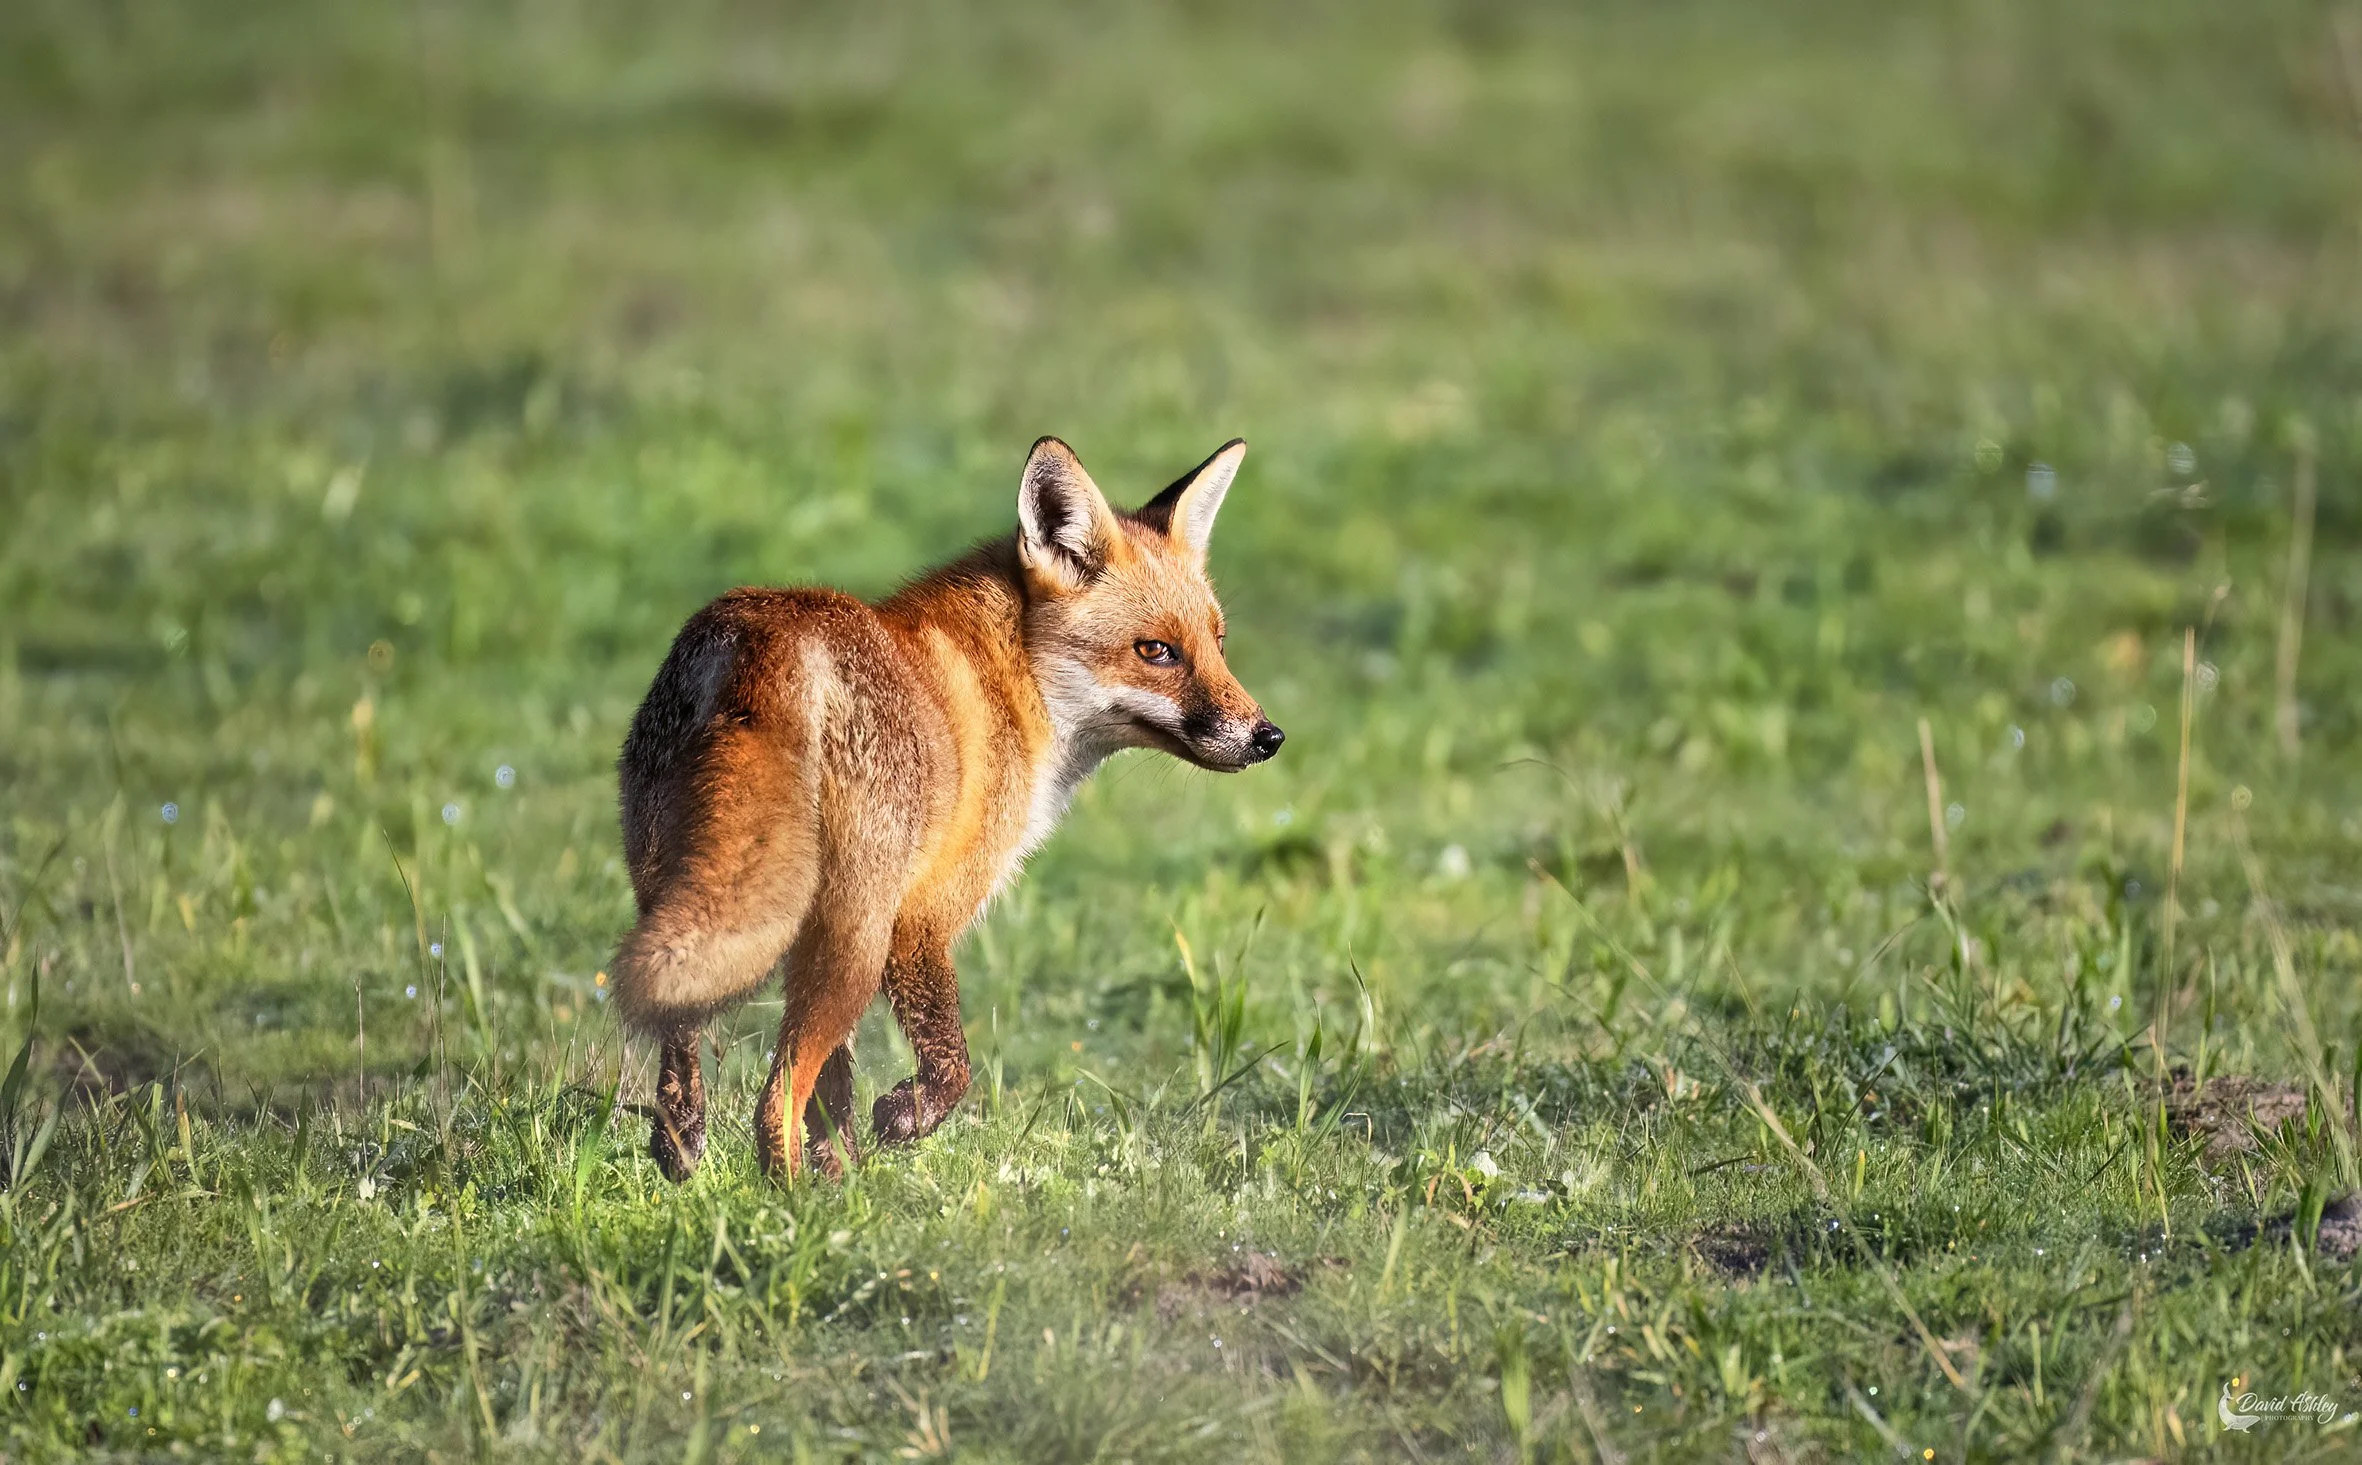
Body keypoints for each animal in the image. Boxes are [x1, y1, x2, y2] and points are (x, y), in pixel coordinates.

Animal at [611, 436, 1284, 1182]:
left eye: (1217, 643)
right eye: (1156, 651)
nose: (1268, 737)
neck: (1013, 679)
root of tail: (762, 643)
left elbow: (835, 1093)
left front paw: (844, 1172)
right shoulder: (921, 915)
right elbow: (949, 1065)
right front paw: (900, 1121)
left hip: (681, 894)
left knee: (683, 1028)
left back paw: (683, 1145)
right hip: (856, 939)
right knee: (775, 1093)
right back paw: (788, 1202)